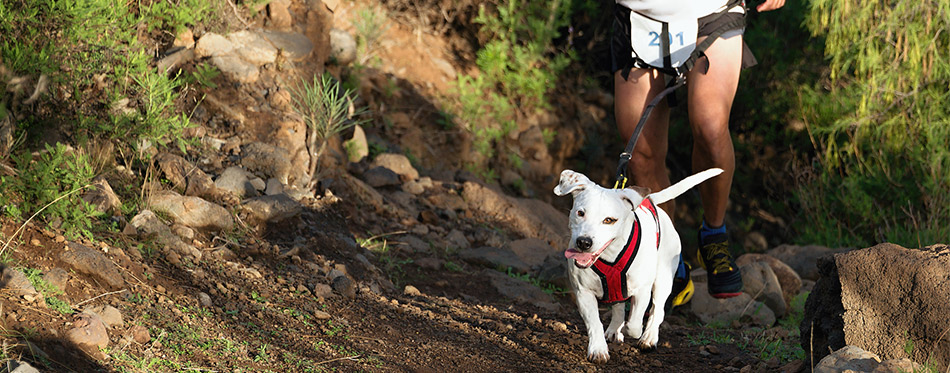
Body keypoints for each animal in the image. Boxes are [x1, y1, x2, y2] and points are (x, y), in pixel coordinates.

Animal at [552, 167, 720, 362]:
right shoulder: (583, 292)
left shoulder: (642, 291)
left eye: (609, 220)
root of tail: (651, 201)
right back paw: (614, 330)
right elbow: (594, 323)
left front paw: (635, 330)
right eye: (580, 213)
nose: (584, 242)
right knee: (618, 306)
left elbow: (633, 323)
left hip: (663, 280)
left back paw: (648, 337)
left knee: (657, 310)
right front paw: (598, 349)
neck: (610, 255)